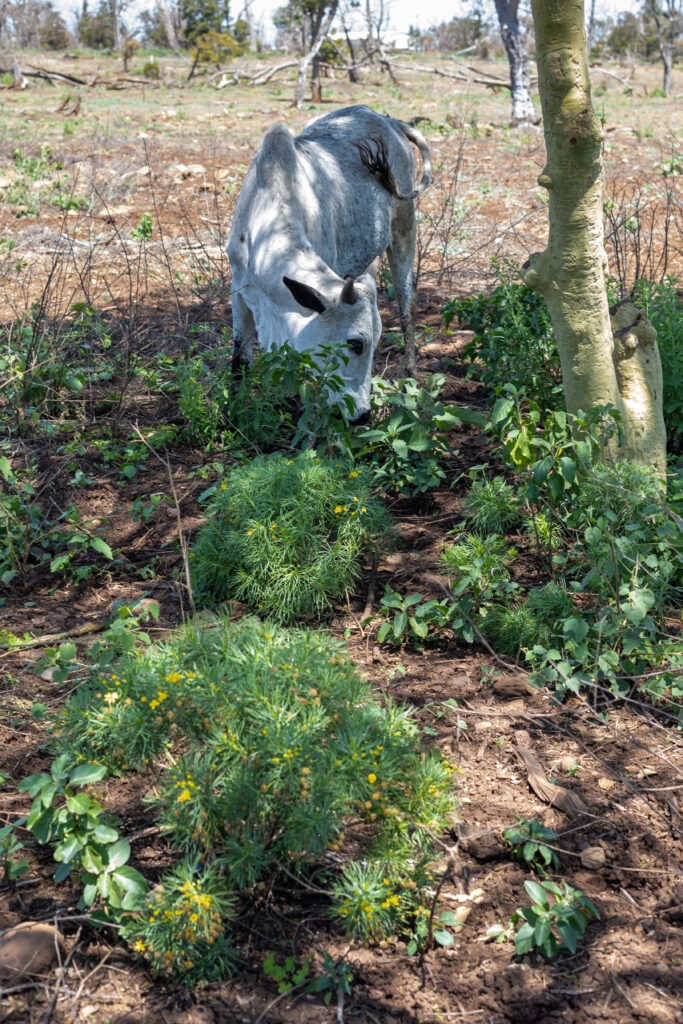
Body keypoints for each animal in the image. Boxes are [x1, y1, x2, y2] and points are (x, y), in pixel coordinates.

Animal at [227, 104, 430, 419]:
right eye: (356, 343)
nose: (363, 415)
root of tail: (388, 120)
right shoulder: (239, 293)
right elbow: (240, 364)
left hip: (404, 230)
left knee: (406, 310)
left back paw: (411, 380)